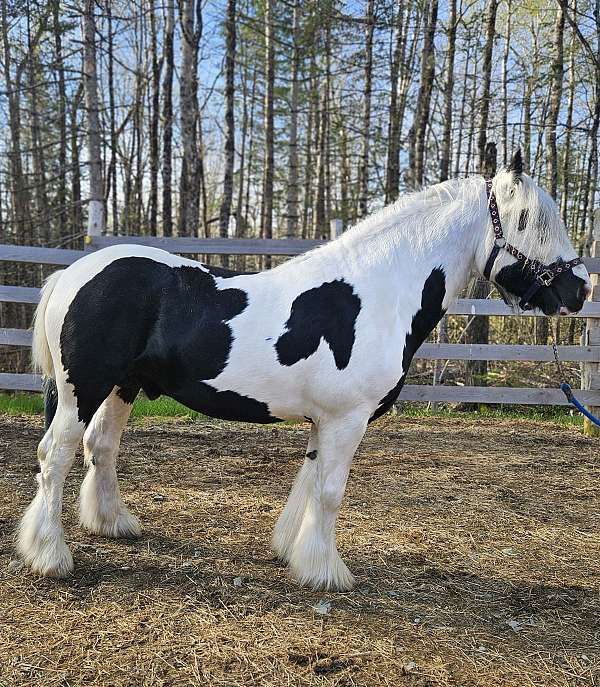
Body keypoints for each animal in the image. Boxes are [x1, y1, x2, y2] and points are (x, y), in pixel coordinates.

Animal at [17, 151, 590, 590]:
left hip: (123, 386)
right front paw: (327, 572)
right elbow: (330, 492)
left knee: (101, 448)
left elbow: (309, 482)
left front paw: (293, 553)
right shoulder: (347, 419)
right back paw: (49, 555)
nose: (580, 289)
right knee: (55, 455)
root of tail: (74, 272)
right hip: (82, 388)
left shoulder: (327, 421)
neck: (378, 291)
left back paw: (114, 524)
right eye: (530, 221)